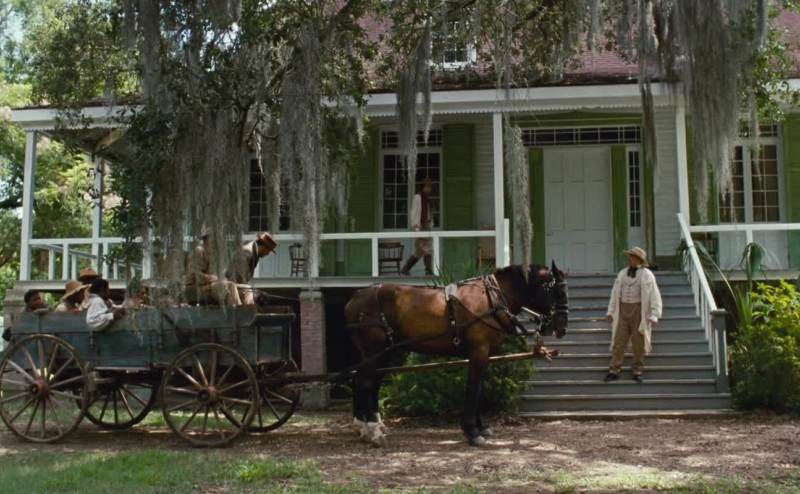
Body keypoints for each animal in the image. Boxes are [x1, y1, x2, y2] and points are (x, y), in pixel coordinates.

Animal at [343, 262, 568, 447]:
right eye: (556, 291)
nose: (561, 327)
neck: (492, 299)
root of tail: (356, 297)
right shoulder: (478, 351)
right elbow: (474, 389)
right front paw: (472, 432)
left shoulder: (485, 355)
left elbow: (480, 389)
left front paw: (481, 427)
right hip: (374, 350)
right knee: (364, 382)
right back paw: (372, 432)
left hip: (386, 353)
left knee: (368, 382)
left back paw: (366, 426)